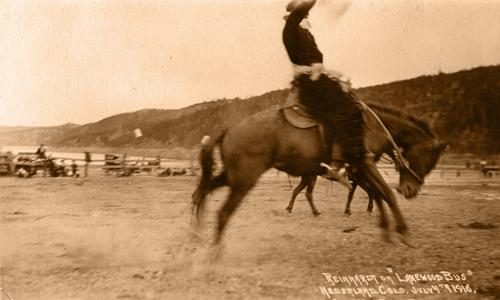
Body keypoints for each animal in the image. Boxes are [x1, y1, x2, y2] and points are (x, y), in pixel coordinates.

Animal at [191, 103, 446, 246]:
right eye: (429, 160)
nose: (410, 190)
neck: (371, 127)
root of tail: (229, 130)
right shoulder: (364, 166)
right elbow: (384, 194)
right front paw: (402, 231)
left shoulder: (359, 169)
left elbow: (377, 194)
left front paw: (385, 228)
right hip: (244, 178)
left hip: (237, 176)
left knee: (202, 191)